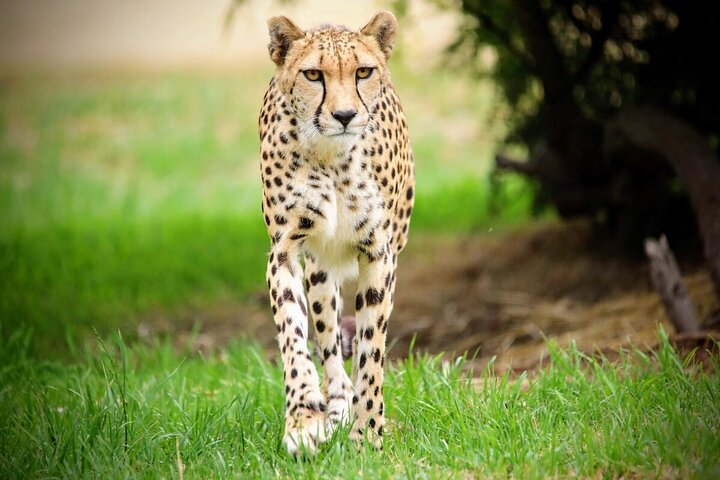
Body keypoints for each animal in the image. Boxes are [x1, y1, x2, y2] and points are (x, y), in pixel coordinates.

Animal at [260, 10, 416, 454]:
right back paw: (334, 408)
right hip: (319, 271)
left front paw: (368, 434)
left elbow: (372, 350)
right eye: (313, 74)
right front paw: (303, 419)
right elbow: (293, 337)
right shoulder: (284, 251)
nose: (345, 115)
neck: (331, 158)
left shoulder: (379, 254)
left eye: (364, 72)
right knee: (329, 343)